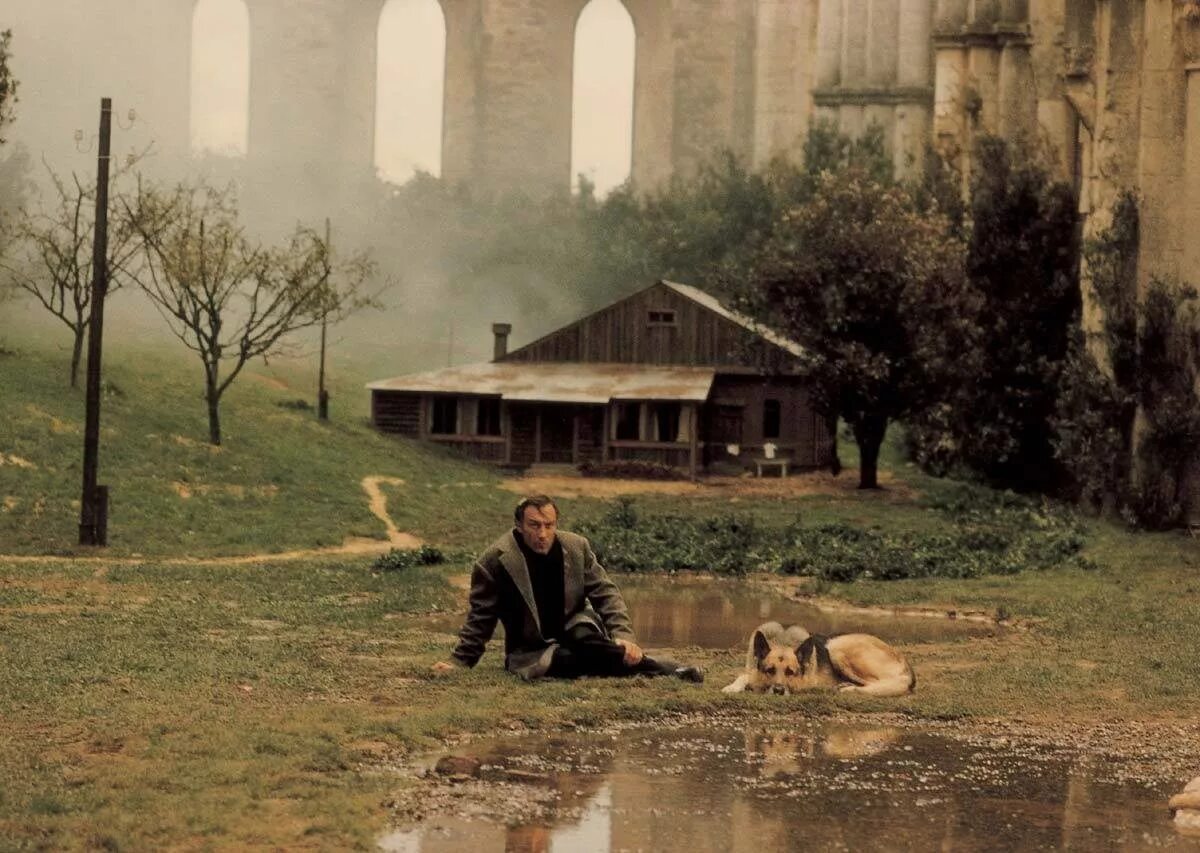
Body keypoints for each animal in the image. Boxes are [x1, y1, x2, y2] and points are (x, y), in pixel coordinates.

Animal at [720, 623, 916, 695]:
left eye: (791, 672)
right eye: (770, 670)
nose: (779, 691)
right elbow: (745, 675)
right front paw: (733, 687)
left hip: (837, 647)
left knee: (879, 684)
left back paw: (847, 688)